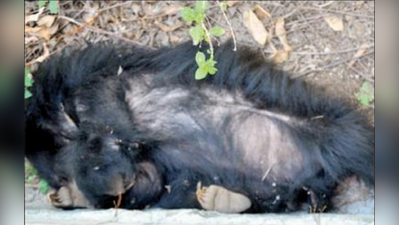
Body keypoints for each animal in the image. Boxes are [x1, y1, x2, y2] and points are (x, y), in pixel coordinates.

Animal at [25, 39, 376, 214]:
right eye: (59, 176)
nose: (63, 182)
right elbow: (148, 181)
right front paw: (91, 188)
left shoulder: (98, 82)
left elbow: (102, 102)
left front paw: (107, 175)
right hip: (277, 186)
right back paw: (223, 199)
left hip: (331, 126)